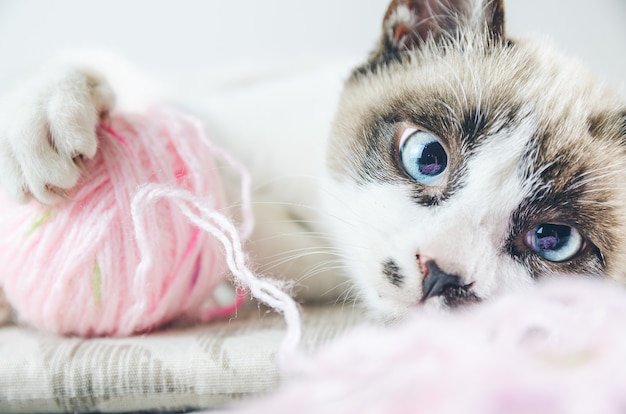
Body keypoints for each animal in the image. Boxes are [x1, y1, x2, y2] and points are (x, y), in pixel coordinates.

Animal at [0, 0, 620, 326]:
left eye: (553, 240)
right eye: (427, 157)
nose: (439, 272)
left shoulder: (307, 264)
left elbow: (235, 227)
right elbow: (123, 80)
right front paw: (50, 116)